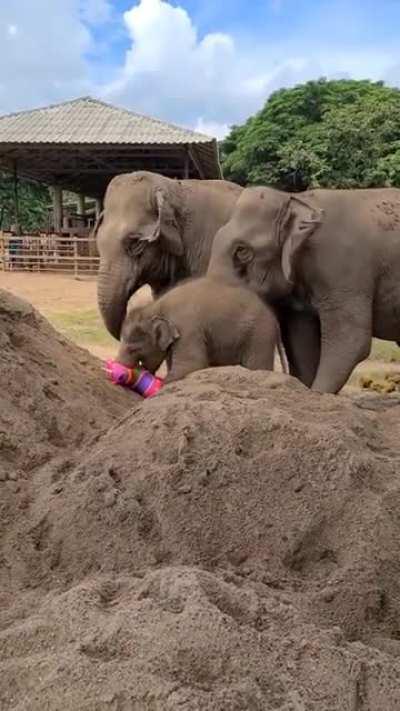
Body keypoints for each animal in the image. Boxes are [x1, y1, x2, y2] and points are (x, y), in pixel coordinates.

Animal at [117, 276, 288, 383]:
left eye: (133, 349)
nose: (120, 374)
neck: (156, 307)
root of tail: (275, 320)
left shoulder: (187, 328)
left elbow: (192, 364)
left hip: (260, 335)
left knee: (257, 366)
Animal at [207, 185, 400, 393]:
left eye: (242, 251)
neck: (296, 200)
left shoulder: (344, 268)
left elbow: (351, 339)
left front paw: (317, 393)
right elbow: (301, 342)